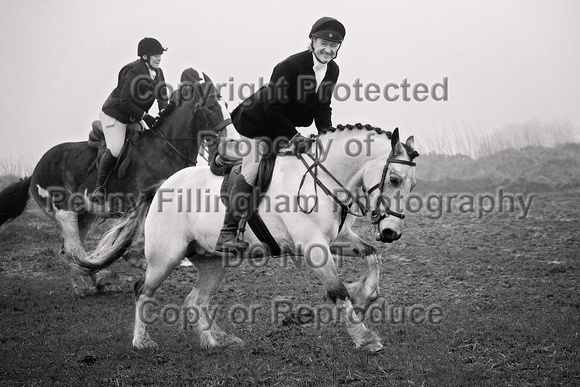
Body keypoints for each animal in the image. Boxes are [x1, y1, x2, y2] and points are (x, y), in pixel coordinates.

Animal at [0, 69, 238, 298]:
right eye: (211, 106)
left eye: (226, 105)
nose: (231, 141)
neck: (167, 148)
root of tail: (35, 171)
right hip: (65, 213)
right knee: (73, 250)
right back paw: (83, 287)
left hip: (85, 215)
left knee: (75, 252)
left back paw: (97, 282)